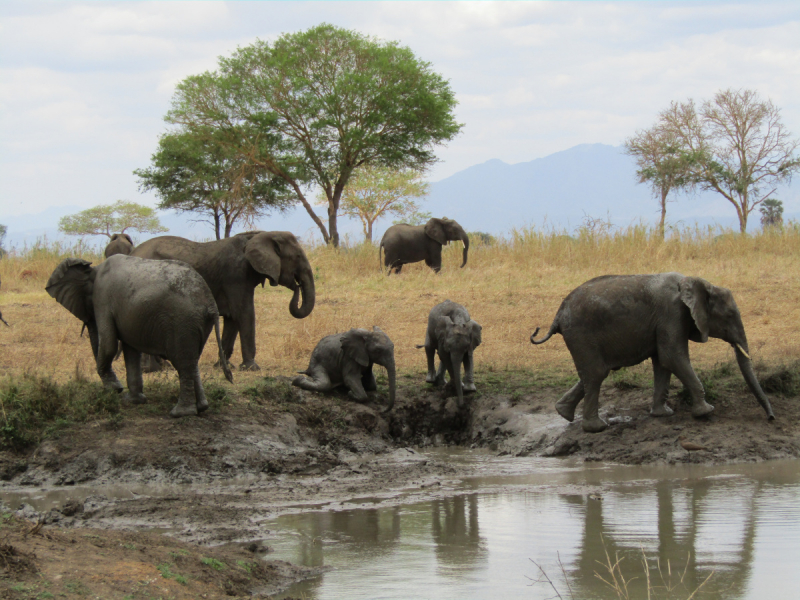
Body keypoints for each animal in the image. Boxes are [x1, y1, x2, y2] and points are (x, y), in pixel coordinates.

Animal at [45, 253, 231, 418]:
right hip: (196, 323)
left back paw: (179, 413)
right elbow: (130, 350)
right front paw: (132, 401)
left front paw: (115, 390)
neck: (93, 269)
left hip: (182, 322)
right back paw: (202, 407)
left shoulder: (102, 299)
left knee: (183, 362)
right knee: (192, 362)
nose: (116, 390)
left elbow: (109, 344)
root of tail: (210, 301)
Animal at [130, 232, 314, 372]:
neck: (262, 234)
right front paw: (252, 368)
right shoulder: (236, 275)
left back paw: (161, 367)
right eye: (297, 256)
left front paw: (223, 367)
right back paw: (152, 369)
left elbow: (232, 318)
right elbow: (245, 314)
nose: (296, 285)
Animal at [532, 272, 776, 432]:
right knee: (595, 374)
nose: (771, 419)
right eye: (729, 316)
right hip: (581, 334)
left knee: (594, 373)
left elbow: (662, 362)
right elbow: (672, 356)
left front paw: (663, 415)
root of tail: (558, 314)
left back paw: (563, 412)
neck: (697, 282)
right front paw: (707, 411)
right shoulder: (672, 313)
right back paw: (597, 427)